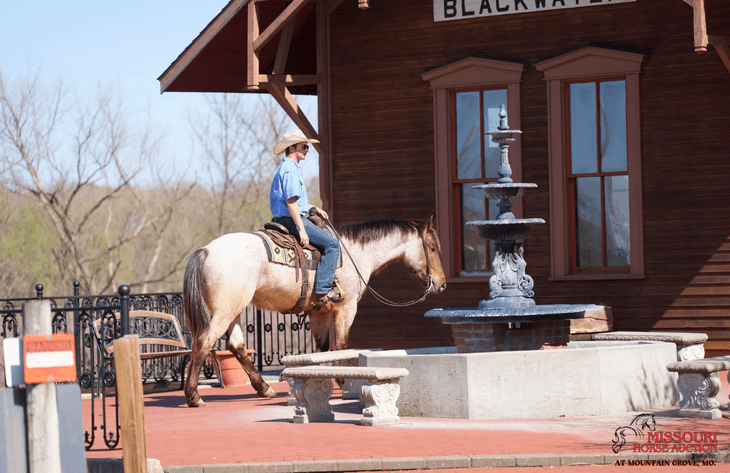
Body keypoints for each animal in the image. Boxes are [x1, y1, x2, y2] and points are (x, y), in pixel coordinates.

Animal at [182, 217, 447, 407]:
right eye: (433, 248)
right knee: (203, 342)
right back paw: (194, 395)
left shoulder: (318, 314)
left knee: (236, 346)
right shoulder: (346, 308)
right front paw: (342, 381)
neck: (354, 253)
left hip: (234, 309)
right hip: (224, 312)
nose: (442, 284)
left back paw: (264, 388)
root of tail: (206, 250)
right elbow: (340, 346)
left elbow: (321, 349)